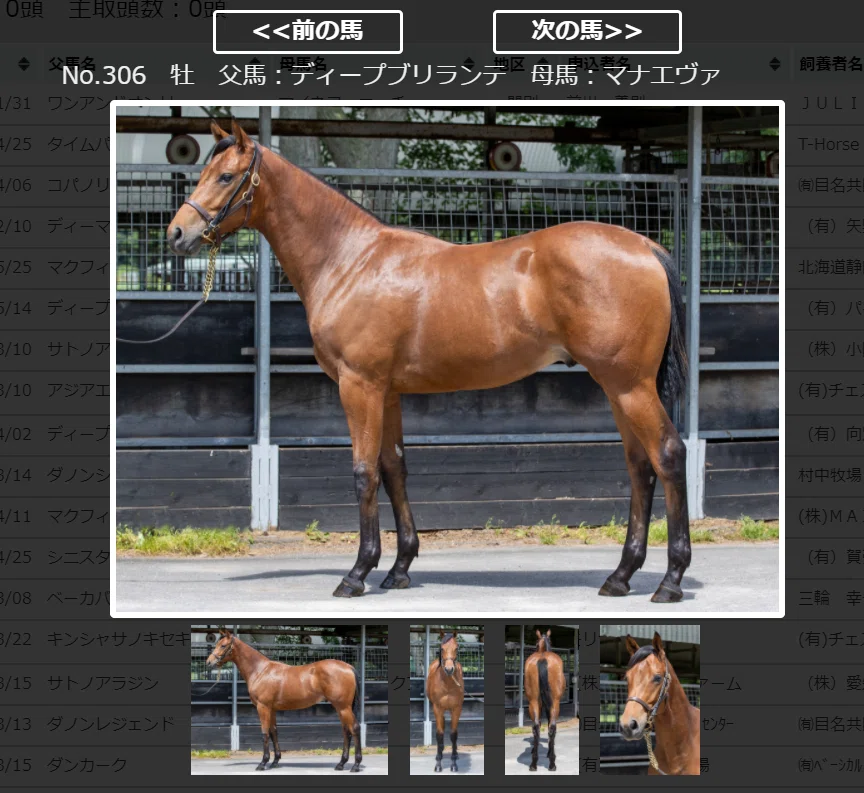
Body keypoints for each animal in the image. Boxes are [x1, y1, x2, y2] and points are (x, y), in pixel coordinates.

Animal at [167, 118, 691, 603]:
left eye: (226, 176)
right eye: (203, 172)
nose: (177, 233)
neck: (351, 260)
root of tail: (645, 246)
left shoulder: (359, 386)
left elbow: (364, 473)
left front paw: (357, 573)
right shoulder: (387, 392)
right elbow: (394, 469)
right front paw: (399, 569)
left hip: (629, 385)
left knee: (667, 455)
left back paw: (670, 580)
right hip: (618, 388)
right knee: (639, 466)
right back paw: (620, 576)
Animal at [205, 628, 362, 772]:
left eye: (223, 645)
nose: (209, 662)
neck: (260, 671)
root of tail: (348, 667)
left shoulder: (263, 707)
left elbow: (264, 733)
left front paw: (263, 763)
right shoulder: (272, 709)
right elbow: (274, 732)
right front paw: (275, 761)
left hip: (343, 707)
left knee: (354, 728)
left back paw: (355, 765)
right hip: (341, 708)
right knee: (346, 730)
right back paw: (341, 764)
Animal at [426, 631, 465, 772]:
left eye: (456, 648)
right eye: (442, 648)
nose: (449, 669)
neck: (447, 683)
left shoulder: (457, 709)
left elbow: (453, 734)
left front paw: (453, 763)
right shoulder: (437, 708)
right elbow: (439, 734)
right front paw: (438, 763)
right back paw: (441, 751)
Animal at [523, 629, 565, 772]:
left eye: (536, 643)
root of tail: (542, 658)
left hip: (533, 702)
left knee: (536, 727)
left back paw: (533, 764)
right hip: (554, 704)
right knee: (552, 727)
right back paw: (552, 763)